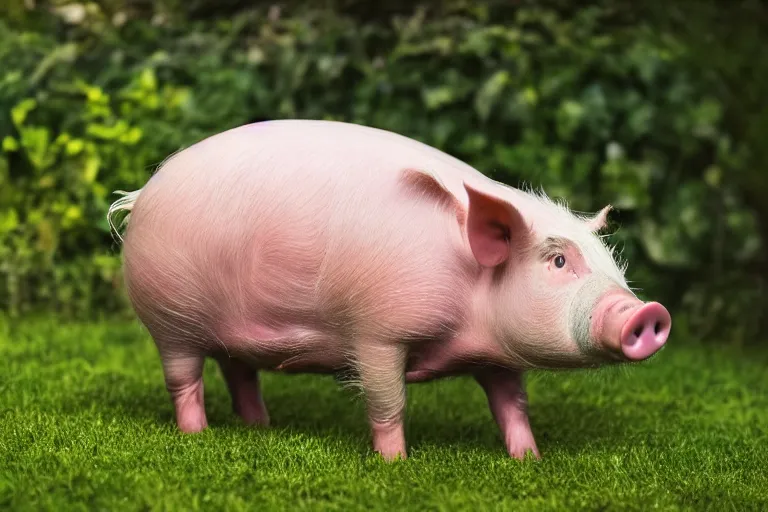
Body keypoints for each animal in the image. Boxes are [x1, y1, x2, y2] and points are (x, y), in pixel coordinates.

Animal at [108, 120, 672, 460]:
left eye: (613, 264)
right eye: (557, 260)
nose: (647, 312)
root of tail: (140, 195)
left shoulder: (497, 357)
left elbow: (512, 404)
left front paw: (528, 458)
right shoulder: (377, 332)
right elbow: (388, 401)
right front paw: (396, 462)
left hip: (232, 332)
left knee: (239, 372)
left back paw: (259, 427)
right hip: (170, 319)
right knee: (184, 380)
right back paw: (197, 435)